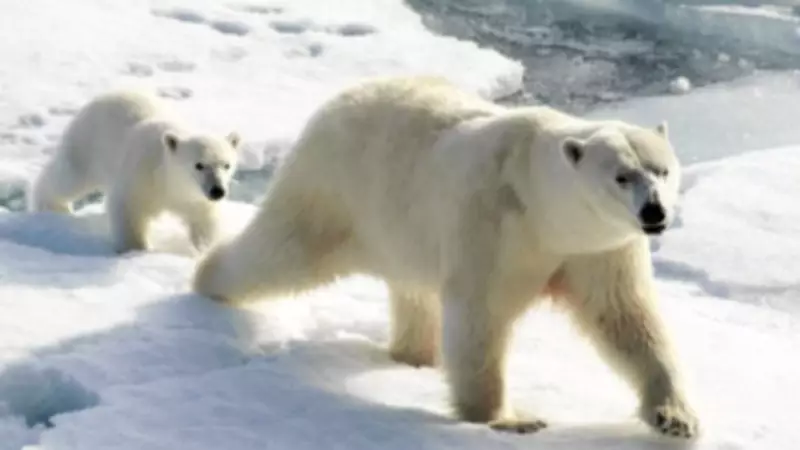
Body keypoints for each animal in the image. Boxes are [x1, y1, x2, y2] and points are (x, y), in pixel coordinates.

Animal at [28, 89, 241, 254]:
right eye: (199, 165)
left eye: (226, 165)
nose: (217, 191)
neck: (167, 178)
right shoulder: (141, 176)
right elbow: (128, 209)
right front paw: (136, 250)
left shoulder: (195, 197)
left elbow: (204, 219)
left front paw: (205, 249)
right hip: (87, 144)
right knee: (68, 178)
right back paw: (52, 207)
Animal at [192, 76, 698, 438]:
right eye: (621, 176)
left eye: (662, 170)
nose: (655, 212)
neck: (542, 204)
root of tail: (341, 97)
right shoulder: (493, 223)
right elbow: (480, 314)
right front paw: (508, 418)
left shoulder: (600, 247)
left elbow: (627, 318)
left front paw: (676, 417)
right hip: (335, 189)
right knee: (280, 252)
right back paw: (206, 280)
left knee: (413, 293)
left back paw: (416, 355)